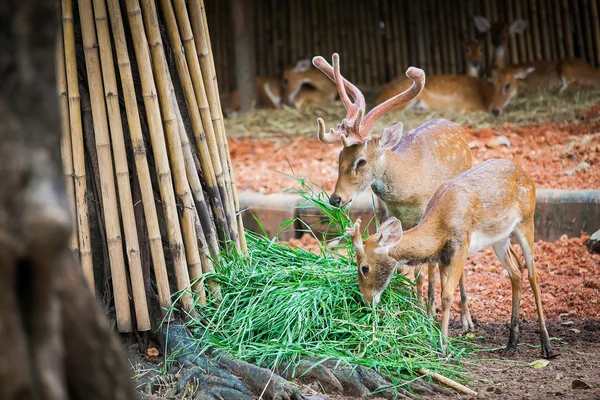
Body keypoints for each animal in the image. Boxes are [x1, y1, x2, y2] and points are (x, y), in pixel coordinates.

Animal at [312, 52, 476, 328]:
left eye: (361, 161)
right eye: (339, 157)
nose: (336, 198)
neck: (405, 191)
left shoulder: (424, 213)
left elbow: (422, 268)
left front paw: (422, 311)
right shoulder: (385, 212)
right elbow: (399, 262)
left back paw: (463, 317)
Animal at [346, 158, 552, 358]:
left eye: (364, 267)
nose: (366, 300)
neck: (440, 226)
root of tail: (526, 174)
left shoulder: (461, 247)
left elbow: (446, 296)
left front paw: (443, 347)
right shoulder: (444, 258)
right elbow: (442, 292)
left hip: (527, 219)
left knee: (534, 275)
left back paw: (547, 346)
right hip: (500, 238)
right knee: (516, 271)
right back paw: (511, 345)